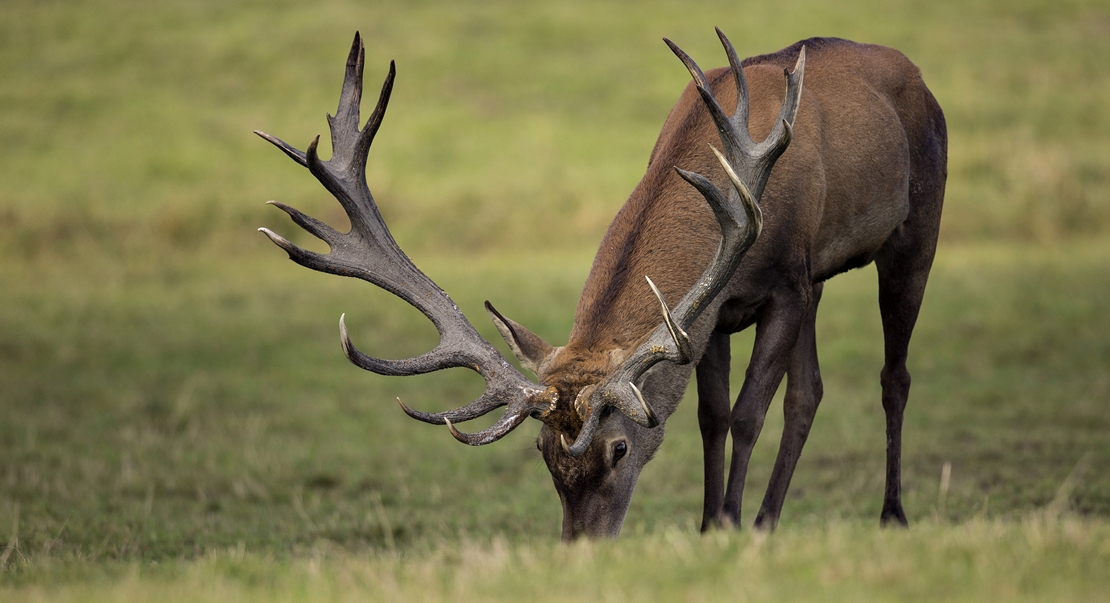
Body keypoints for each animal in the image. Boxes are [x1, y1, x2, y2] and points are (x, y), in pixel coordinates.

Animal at [257, 28, 945, 539]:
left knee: (894, 376)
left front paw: (727, 523)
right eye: (543, 452)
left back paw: (891, 514)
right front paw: (711, 528)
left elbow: (750, 413)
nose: (579, 548)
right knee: (811, 390)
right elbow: (713, 415)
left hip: (915, 230)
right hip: (823, 282)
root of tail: (915, 73)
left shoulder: (786, 283)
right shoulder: (711, 313)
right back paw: (769, 522)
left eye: (618, 449)